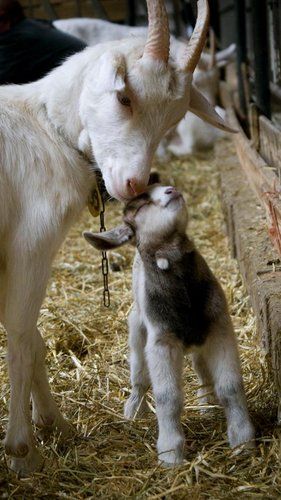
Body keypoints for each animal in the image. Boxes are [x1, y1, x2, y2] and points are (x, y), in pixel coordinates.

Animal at [0, 0, 232, 476]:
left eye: (174, 118)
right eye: (124, 96)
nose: (133, 183)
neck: (45, 125)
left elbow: (32, 336)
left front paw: (53, 423)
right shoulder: (28, 245)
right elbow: (20, 336)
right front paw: (22, 449)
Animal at [84, 186, 255, 466]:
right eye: (141, 207)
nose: (171, 190)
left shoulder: (219, 329)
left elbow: (230, 386)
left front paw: (243, 440)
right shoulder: (161, 343)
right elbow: (167, 397)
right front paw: (170, 452)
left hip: (200, 341)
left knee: (202, 371)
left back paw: (207, 403)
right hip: (138, 331)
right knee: (139, 377)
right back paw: (134, 409)